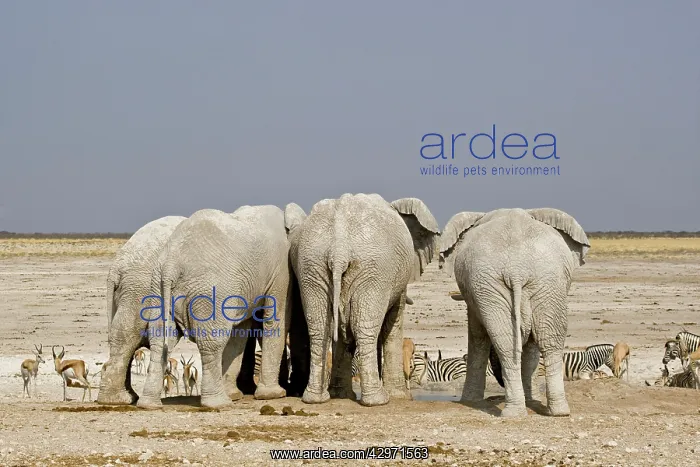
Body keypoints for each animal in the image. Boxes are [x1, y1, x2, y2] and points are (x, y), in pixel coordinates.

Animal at [97, 215, 186, 405]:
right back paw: (121, 399)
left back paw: (119, 399)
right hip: (141, 288)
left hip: (131, 291)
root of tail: (116, 267)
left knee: (123, 335)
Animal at [136, 206, 295, 409]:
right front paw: (274, 395)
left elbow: (239, 332)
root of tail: (171, 264)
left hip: (157, 286)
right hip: (209, 290)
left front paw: (236, 395)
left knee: (159, 341)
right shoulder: (281, 271)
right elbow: (276, 319)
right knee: (212, 343)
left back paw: (148, 404)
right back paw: (219, 403)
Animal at [284, 193, 440, 406]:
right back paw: (377, 400)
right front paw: (400, 397)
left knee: (319, 329)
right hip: (374, 269)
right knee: (364, 329)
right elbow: (393, 322)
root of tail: (338, 248)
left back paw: (315, 399)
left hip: (311, 265)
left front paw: (341, 395)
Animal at [439, 208, 589, 417]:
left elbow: (478, 336)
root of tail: (516, 270)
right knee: (545, 341)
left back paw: (526, 412)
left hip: (532, 281)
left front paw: (470, 401)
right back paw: (550, 412)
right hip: (530, 283)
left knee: (519, 343)